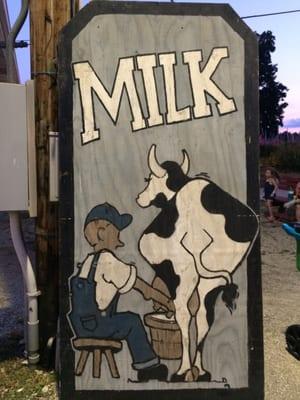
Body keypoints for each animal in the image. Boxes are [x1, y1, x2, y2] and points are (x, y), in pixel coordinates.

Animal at [137, 144, 258, 382]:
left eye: (148, 178)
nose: (139, 197)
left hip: (180, 273)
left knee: (183, 314)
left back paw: (183, 370)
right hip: (212, 278)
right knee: (203, 316)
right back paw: (200, 371)